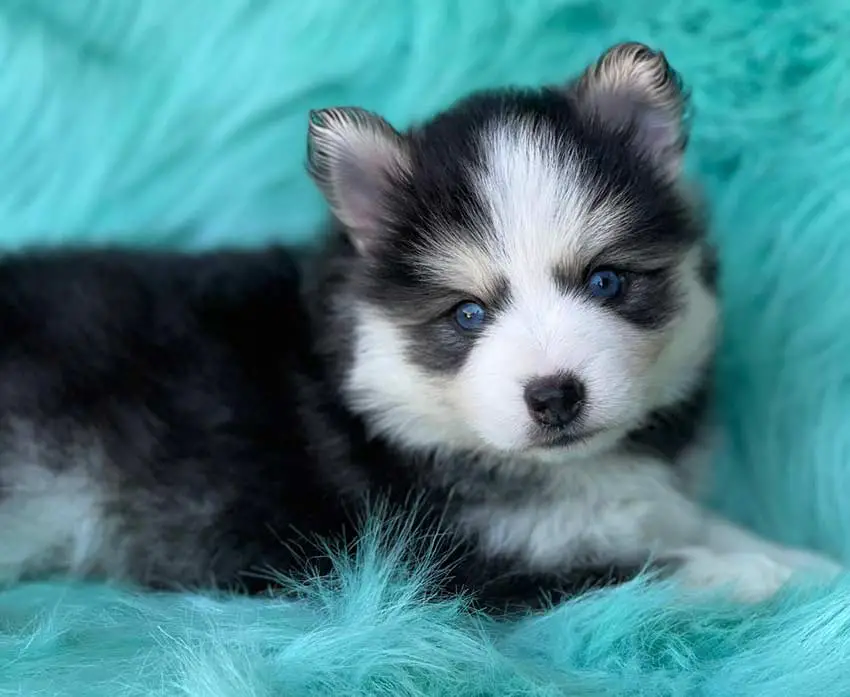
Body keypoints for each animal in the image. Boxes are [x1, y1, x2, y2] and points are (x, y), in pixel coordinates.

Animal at [0, 43, 840, 608]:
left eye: (606, 280)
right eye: (467, 313)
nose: (555, 395)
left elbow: (696, 521)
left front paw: (805, 560)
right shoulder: (446, 564)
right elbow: (633, 567)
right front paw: (744, 572)